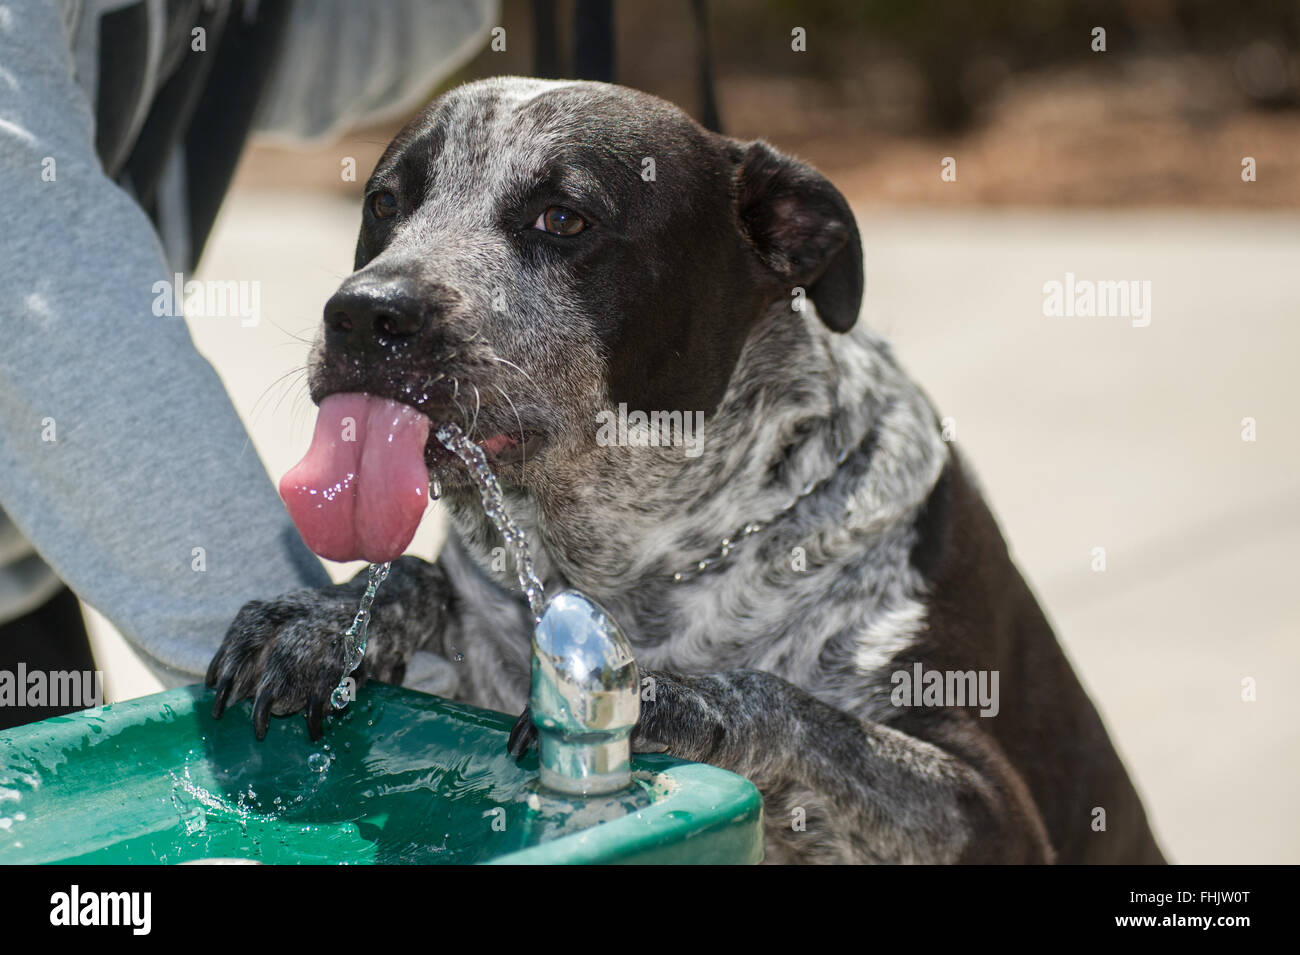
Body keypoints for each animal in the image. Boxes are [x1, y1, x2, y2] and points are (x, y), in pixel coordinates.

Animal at [205, 76, 1170, 867]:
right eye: (385, 204)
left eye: (565, 218)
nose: (366, 314)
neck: (632, 563)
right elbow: (418, 582)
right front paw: (326, 619)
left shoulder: (988, 805)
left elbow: (804, 712)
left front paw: (681, 696)